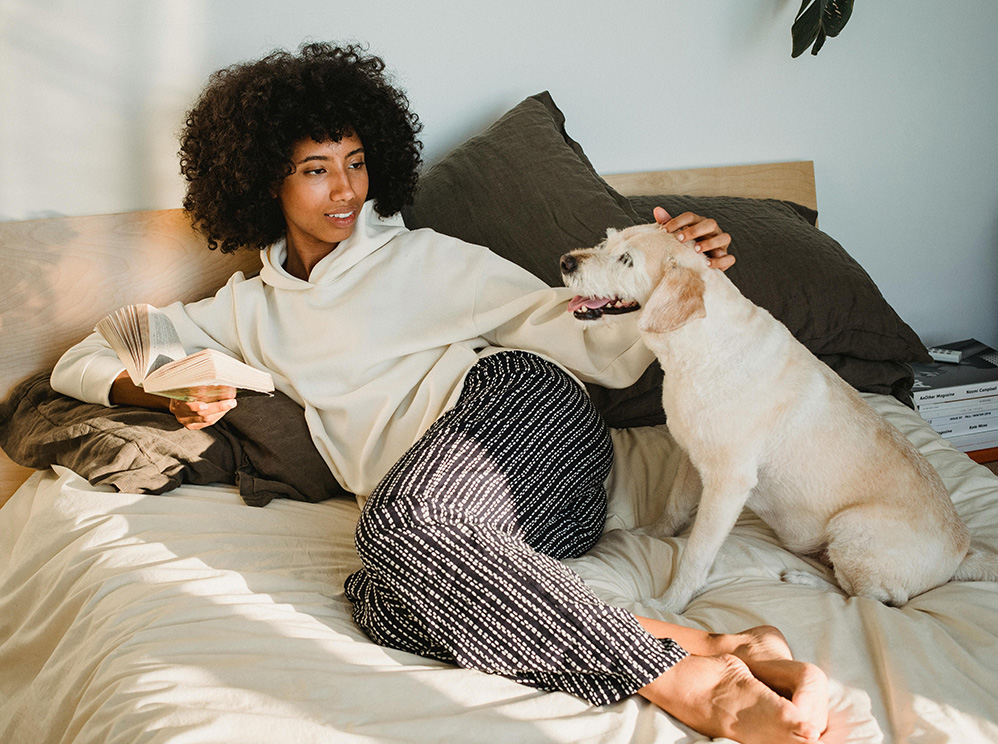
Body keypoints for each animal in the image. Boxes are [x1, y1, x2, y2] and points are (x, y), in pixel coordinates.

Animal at [564, 225, 998, 612]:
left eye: (626, 260)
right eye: (606, 241)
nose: (566, 261)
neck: (699, 348)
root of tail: (962, 554)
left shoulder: (728, 484)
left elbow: (696, 554)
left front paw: (669, 604)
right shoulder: (692, 457)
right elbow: (672, 508)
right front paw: (649, 536)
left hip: (853, 528)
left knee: (873, 600)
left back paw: (807, 580)